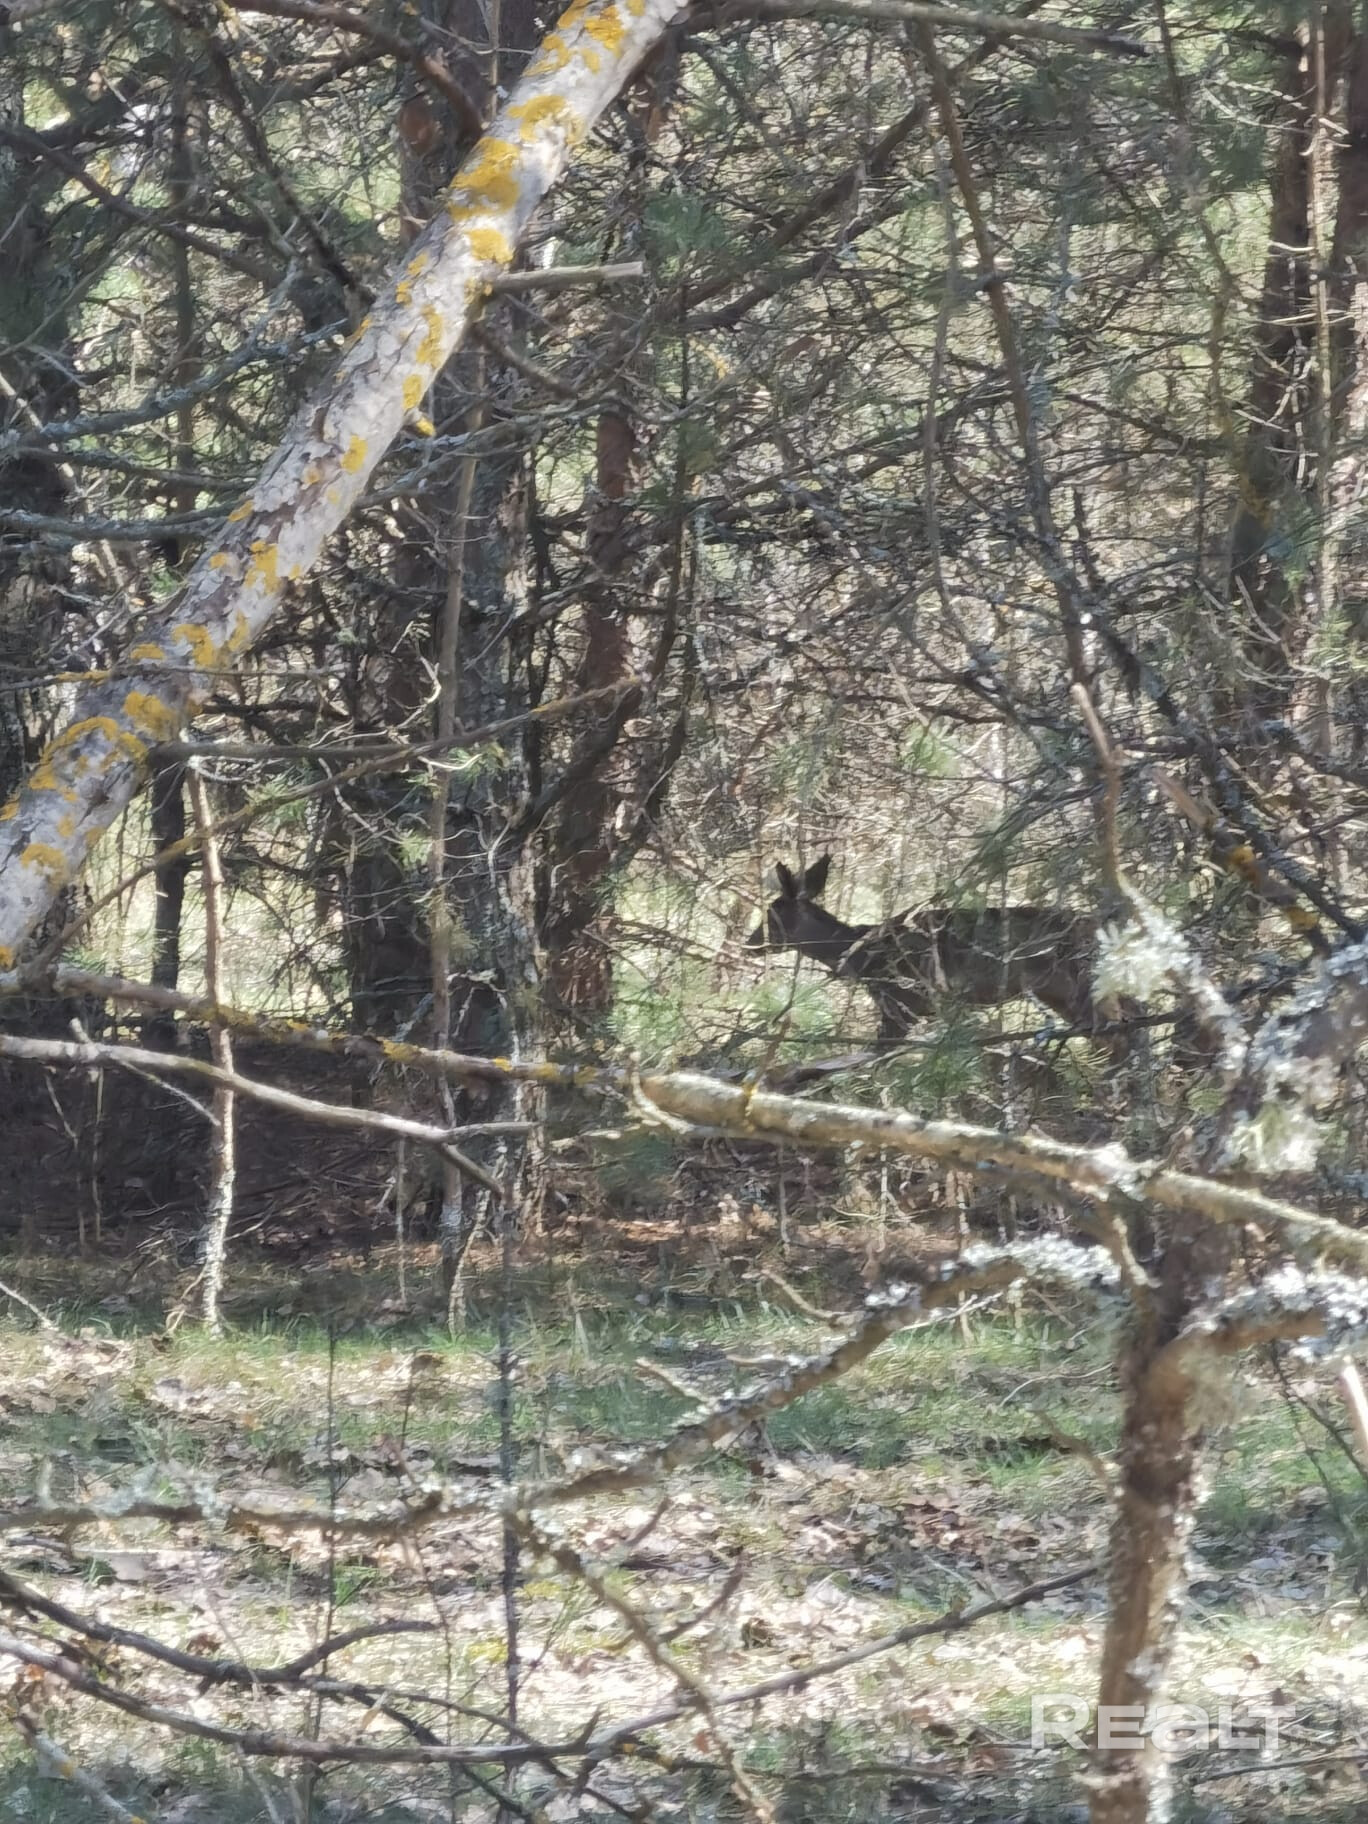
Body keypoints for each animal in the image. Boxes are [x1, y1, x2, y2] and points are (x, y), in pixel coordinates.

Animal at [746, 855, 1102, 1044]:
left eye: (772, 915)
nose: (750, 944)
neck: (863, 957)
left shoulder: (904, 1004)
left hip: (1075, 986)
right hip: (1059, 994)